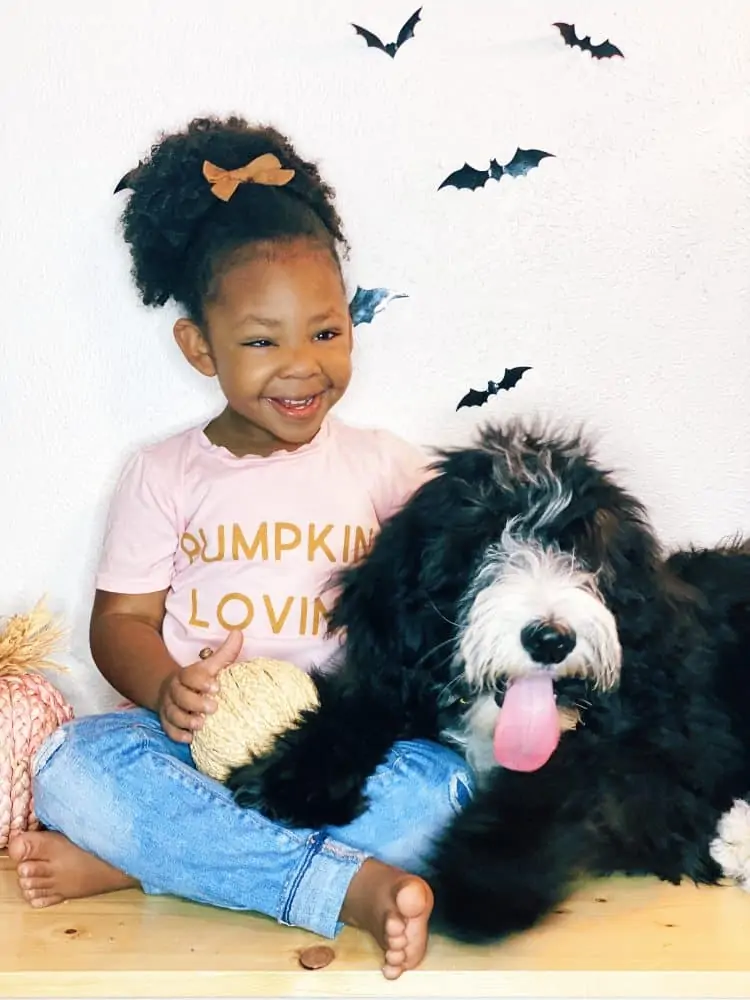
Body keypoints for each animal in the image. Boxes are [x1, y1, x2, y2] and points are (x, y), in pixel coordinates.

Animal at [229, 422, 750, 944]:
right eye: (483, 543)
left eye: (582, 552)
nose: (550, 639)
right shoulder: (397, 663)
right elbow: (361, 702)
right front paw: (294, 780)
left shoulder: (665, 766)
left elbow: (564, 778)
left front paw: (481, 881)